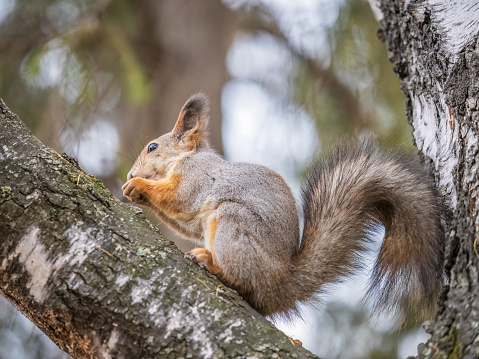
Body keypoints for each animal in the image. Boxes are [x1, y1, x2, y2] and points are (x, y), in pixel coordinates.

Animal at [123, 93, 446, 320]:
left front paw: (138, 186)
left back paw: (212, 264)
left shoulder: (197, 178)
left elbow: (179, 197)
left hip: (233, 225)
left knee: (246, 284)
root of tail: (280, 283)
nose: (129, 174)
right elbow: (183, 222)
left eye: (152, 147)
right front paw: (133, 192)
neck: (186, 158)